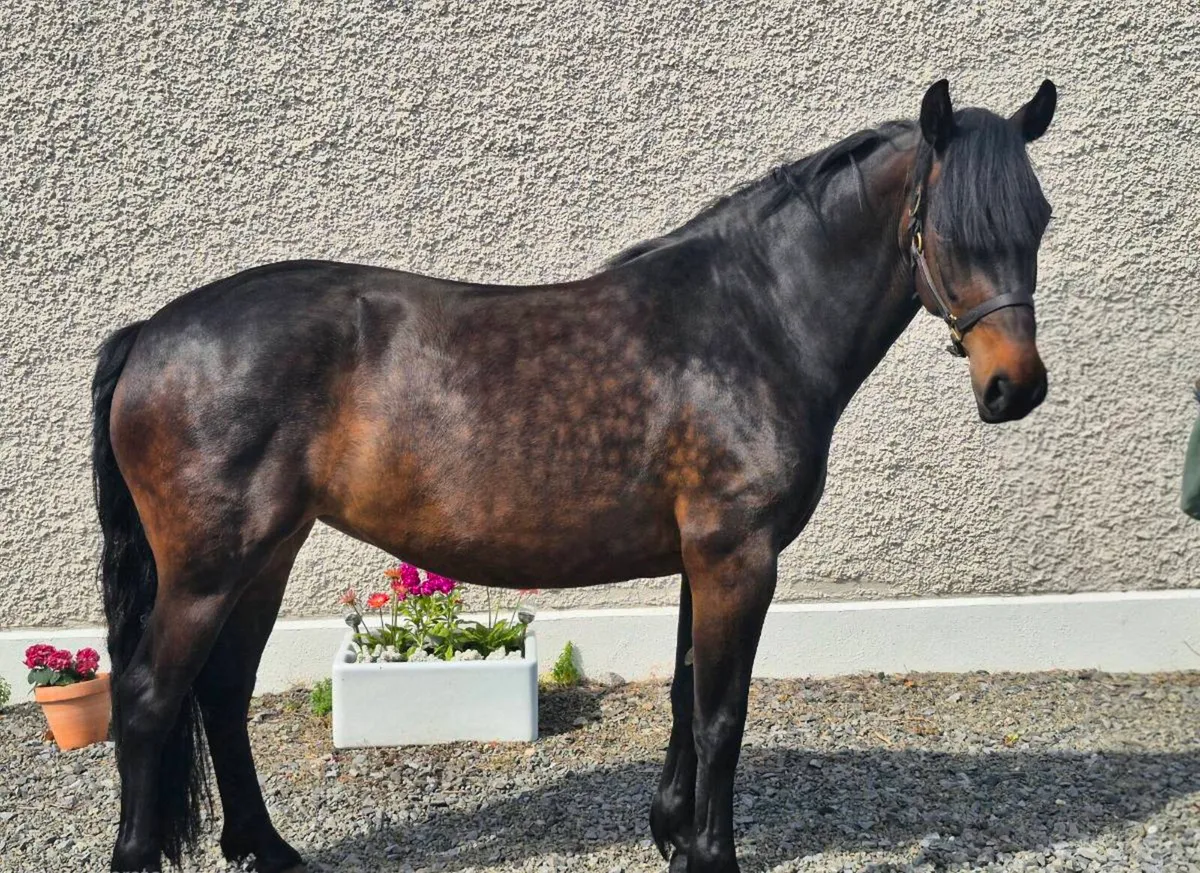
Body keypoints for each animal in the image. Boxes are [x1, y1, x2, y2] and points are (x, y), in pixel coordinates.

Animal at [92, 77, 1057, 872]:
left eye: (1040, 218)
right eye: (954, 227)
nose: (1016, 387)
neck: (752, 320)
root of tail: (152, 332)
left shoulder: (704, 557)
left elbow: (685, 693)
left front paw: (673, 834)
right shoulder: (738, 555)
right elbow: (722, 712)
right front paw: (713, 855)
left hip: (267, 553)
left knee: (221, 692)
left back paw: (268, 847)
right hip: (210, 569)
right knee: (147, 699)